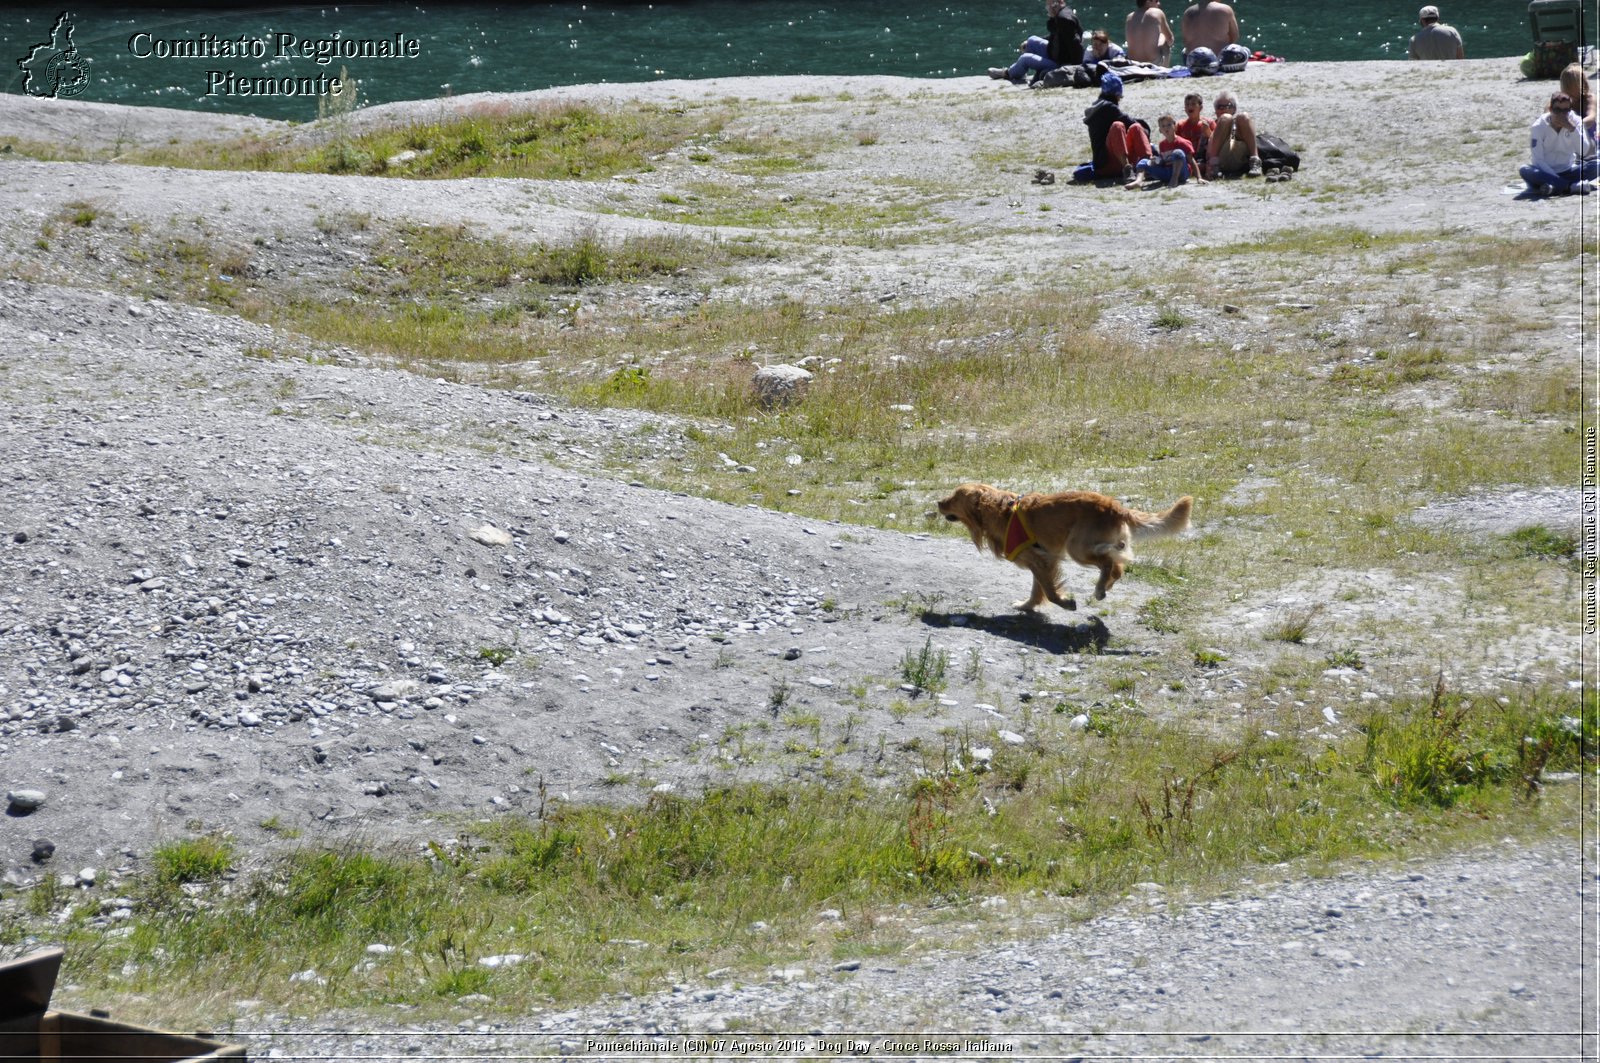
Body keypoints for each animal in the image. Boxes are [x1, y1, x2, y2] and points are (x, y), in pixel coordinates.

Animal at [934, 483, 1190, 611]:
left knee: (1108, 563)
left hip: (1077, 547)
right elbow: (1038, 590)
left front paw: (1065, 603)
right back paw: (1105, 587)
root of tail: (1116, 507)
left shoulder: (1040, 560)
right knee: (1118, 566)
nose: (938, 502)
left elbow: (1048, 590)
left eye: (954, 497)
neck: (999, 510)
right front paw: (1027, 606)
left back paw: (1099, 589)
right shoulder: (1043, 559)